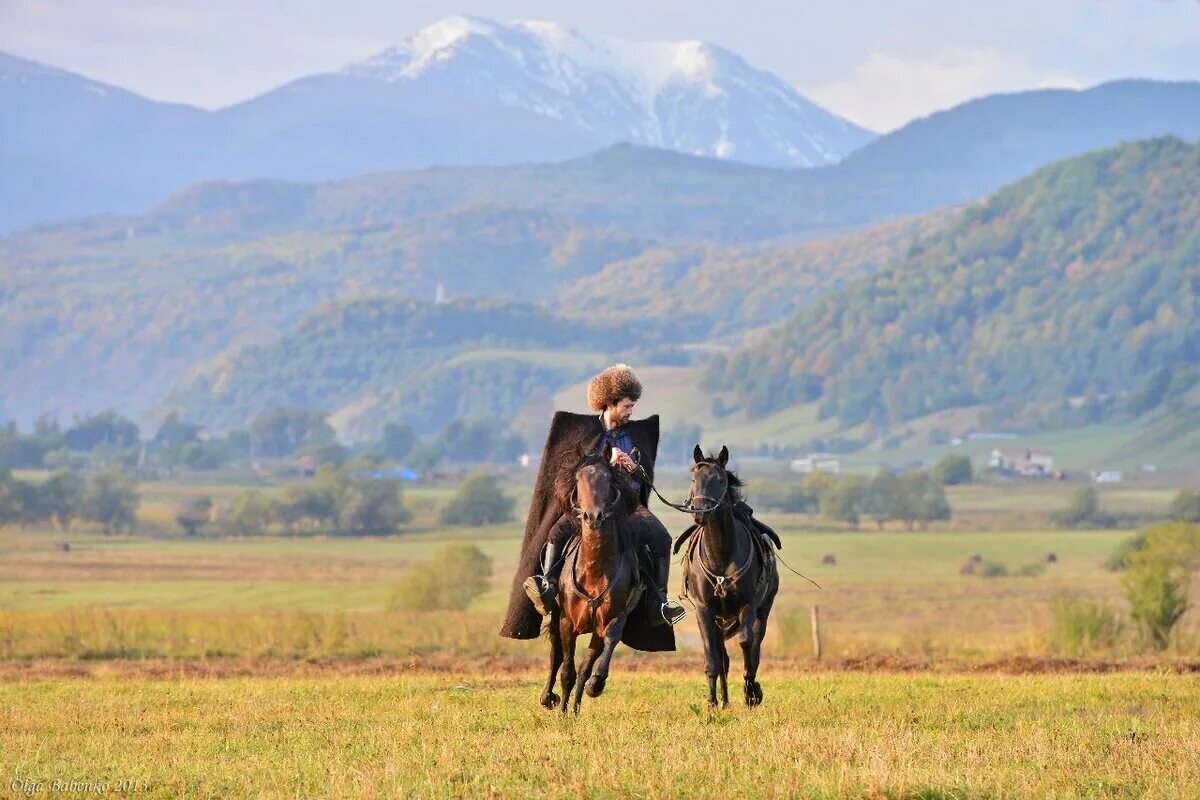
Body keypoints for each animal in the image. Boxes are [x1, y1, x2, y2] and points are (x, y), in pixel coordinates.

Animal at [540, 443, 643, 714]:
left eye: (608, 479)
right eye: (579, 479)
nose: (593, 516)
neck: (594, 569)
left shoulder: (612, 619)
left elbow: (603, 648)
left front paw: (595, 685)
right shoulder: (567, 623)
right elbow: (566, 670)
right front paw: (563, 713)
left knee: (584, 666)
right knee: (556, 655)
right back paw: (548, 697)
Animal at [681, 443, 772, 705]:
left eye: (720, 481)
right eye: (694, 478)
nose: (700, 513)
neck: (720, 555)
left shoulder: (748, 605)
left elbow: (746, 644)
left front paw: (751, 692)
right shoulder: (704, 609)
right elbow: (712, 656)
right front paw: (712, 703)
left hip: (763, 609)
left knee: (755, 645)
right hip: (719, 619)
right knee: (722, 655)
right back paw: (723, 700)